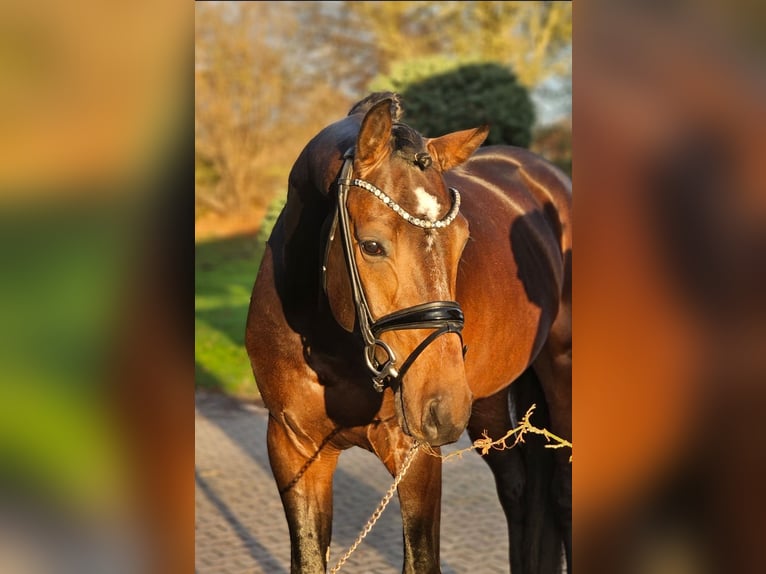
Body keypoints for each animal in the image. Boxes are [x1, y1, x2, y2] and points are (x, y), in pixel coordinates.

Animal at [246, 92, 568, 572]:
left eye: (464, 240)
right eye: (371, 245)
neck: (331, 347)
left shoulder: (414, 456)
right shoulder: (292, 450)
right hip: (488, 402)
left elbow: (420, 559)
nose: (443, 407)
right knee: (518, 488)